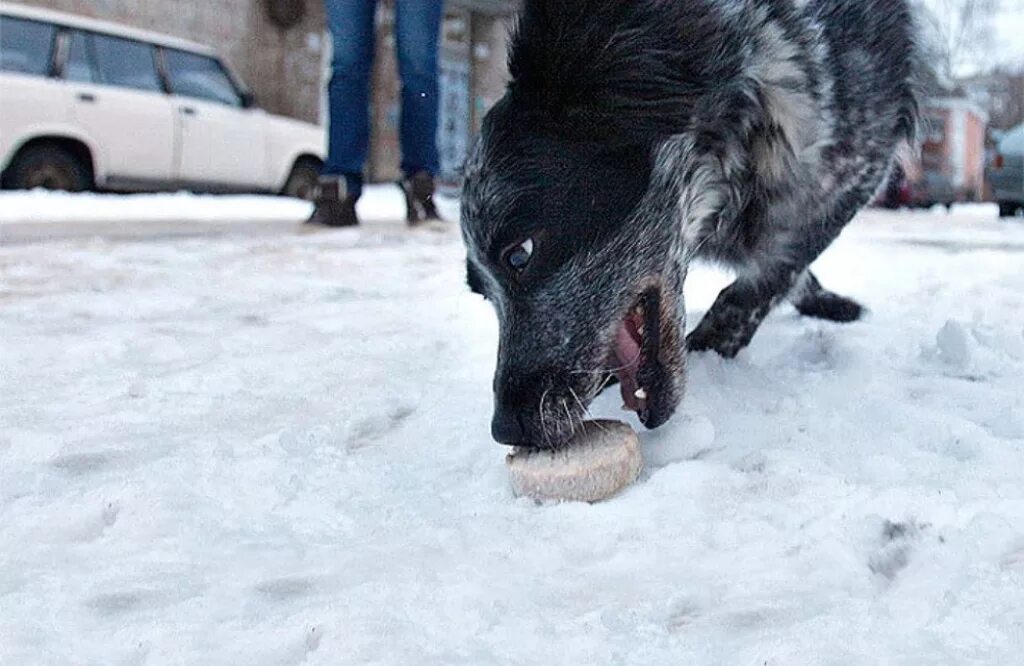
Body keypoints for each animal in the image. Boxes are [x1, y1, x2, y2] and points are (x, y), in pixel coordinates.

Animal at [460, 1, 925, 446]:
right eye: (482, 292)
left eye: (520, 253)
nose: (507, 430)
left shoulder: (859, 163)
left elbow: (768, 276)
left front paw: (710, 350)